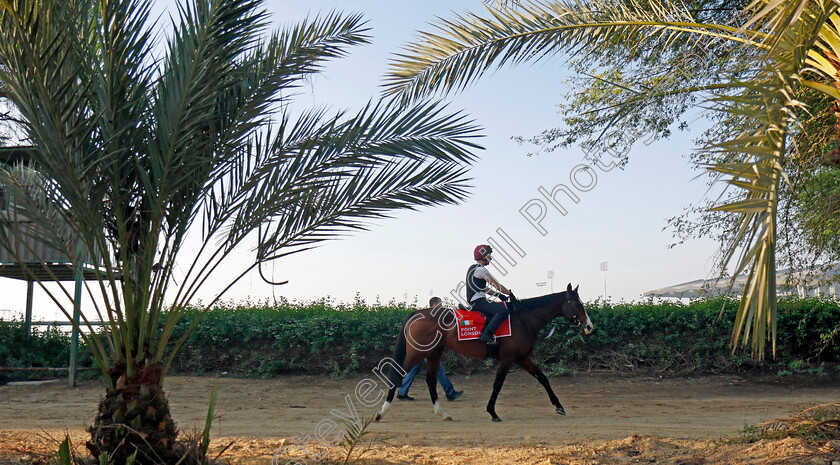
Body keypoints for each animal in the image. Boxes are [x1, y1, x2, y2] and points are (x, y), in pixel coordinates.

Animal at [374, 282, 592, 420]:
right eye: (577, 304)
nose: (589, 326)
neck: (523, 318)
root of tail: (417, 313)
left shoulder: (522, 358)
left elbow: (543, 378)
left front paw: (559, 406)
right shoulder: (508, 358)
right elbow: (497, 384)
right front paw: (492, 412)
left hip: (434, 353)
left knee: (430, 380)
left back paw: (442, 413)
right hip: (417, 353)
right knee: (396, 375)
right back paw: (381, 412)